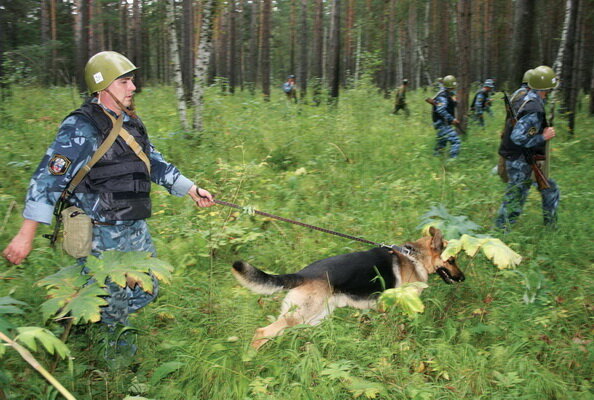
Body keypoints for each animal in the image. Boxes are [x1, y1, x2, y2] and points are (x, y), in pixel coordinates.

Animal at [230, 227, 462, 348]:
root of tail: (303, 274)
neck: (415, 257)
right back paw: (251, 360)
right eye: (451, 260)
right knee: (262, 332)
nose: (463, 278)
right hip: (300, 316)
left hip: (313, 318)